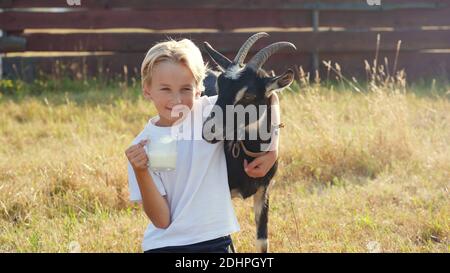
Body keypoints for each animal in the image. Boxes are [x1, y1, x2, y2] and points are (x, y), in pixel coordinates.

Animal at [202, 33, 298, 252]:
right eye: (220, 86)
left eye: (248, 95)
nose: (209, 130)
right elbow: (226, 239)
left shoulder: (264, 190)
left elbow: (262, 240)